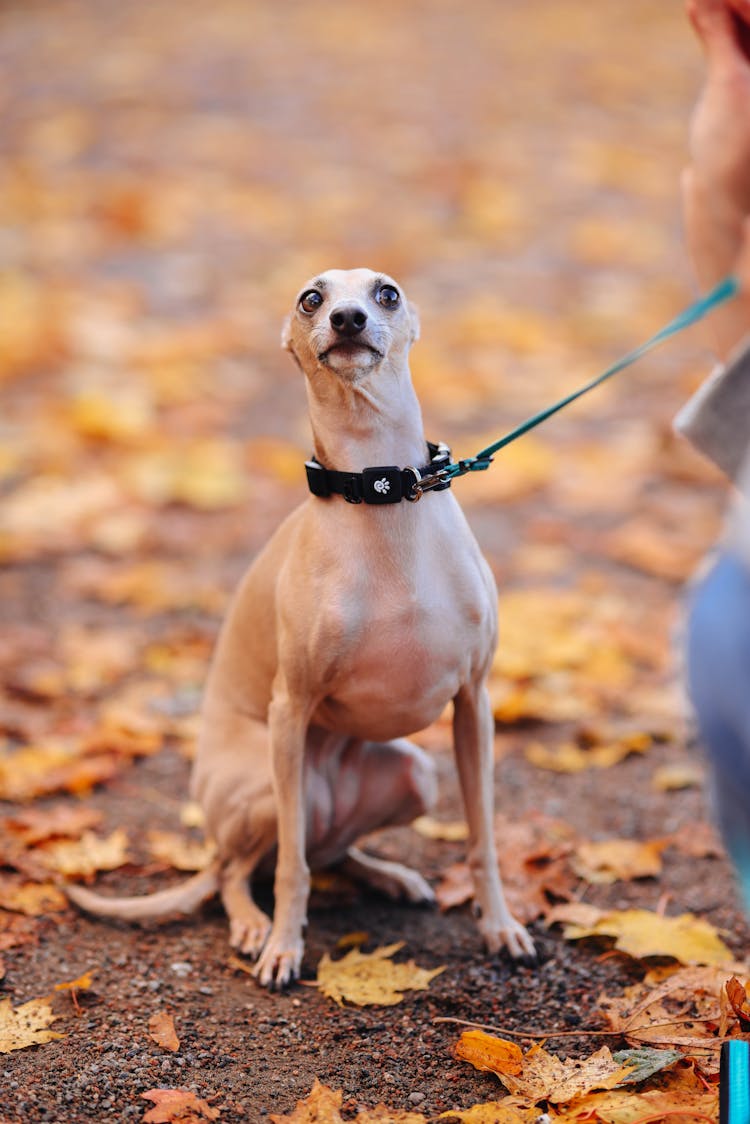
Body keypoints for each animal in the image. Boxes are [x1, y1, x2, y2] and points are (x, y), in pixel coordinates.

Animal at [66, 269, 532, 984]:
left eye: (387, 293)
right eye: (311, 298)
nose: (347, 319)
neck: (382, 492)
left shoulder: (473, 704)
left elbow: (482, 839)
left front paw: (501, 927)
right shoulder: (291, 710)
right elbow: (291, 869)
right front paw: (286, 945)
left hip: (413, 775)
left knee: (327, 853)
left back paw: (388, 876)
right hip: (269, 787)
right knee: (242, 868)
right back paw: (255, 926)